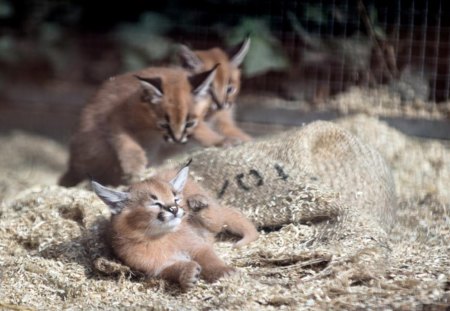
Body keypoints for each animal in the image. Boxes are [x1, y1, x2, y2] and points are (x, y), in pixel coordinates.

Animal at [91, 162, 256, 292]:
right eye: (155, 203)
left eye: (176, 199)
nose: (175, 209)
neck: (158, 237)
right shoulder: (157, 267)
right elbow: (174, 269)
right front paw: (187, 274)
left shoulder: (198, 246)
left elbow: (210, 259)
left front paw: (224, 271)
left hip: (211, 219)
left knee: (218, 218)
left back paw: (199, 203)